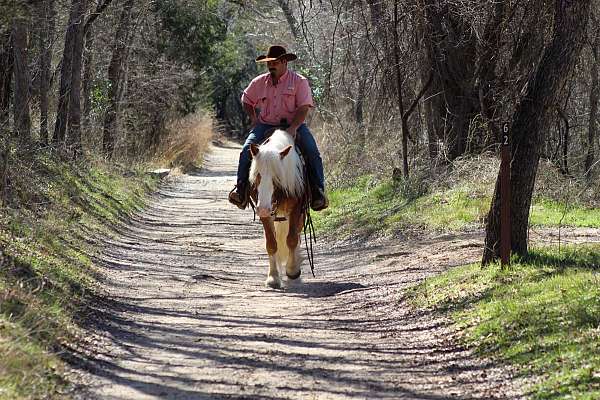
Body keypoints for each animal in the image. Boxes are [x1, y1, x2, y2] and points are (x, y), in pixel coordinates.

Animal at [248, 128, 308, 288]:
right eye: (258, 175)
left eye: (277, 177)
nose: (263, 208)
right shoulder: (266, 214)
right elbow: (271, 243)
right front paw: (273, 277)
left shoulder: (296, 209)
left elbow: (292, 239)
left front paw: (293, 271)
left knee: (297, 234)